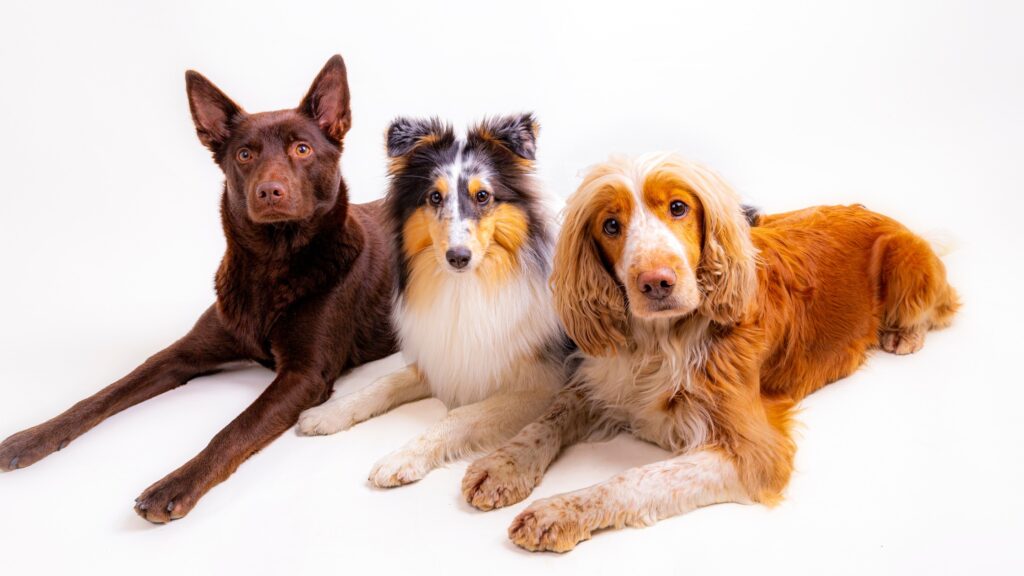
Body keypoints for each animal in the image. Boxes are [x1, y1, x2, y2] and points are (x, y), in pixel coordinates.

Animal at [0, 53, 395, 520]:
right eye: (245, 154)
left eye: (302, 149)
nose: (270, 191)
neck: (271, 265)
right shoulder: (182, 354)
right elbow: (103, 394)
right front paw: (33, 436)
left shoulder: (305, 375)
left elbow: (236, 428)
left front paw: (176, 484)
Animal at [299, 114, 569, 485]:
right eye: (434, 197)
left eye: (482, 196)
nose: (458, 257)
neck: (468, 288)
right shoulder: (445, 356)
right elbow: (384, 382)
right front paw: (328, 413)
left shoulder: (543, 385)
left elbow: (461, 415)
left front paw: (401, 458)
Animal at [464, 154, 958, 549]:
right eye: (611, 225)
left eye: (678, 208)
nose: (656, 282)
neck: (660, 341)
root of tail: (882, 213)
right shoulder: (605, 382)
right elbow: (549, 417)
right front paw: (503, 465)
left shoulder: (755, 452)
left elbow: (637, 477)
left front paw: (559, 511)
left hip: (907, 262)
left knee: (939, 304)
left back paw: (905, 335)